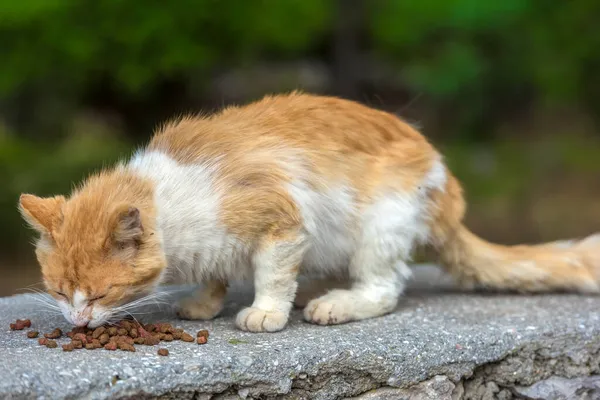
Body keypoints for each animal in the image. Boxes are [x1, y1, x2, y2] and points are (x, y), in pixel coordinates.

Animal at [18, 93, 600, 332]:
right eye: (57, 293)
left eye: (99, 295)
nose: (76, 320)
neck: (172, 198)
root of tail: (447, 193)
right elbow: (215, 273)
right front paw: (205, 302)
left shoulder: (282, 219)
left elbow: (272, 275)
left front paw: (266, 312)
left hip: (383, 222)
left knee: (385, 288)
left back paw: (335, 303)